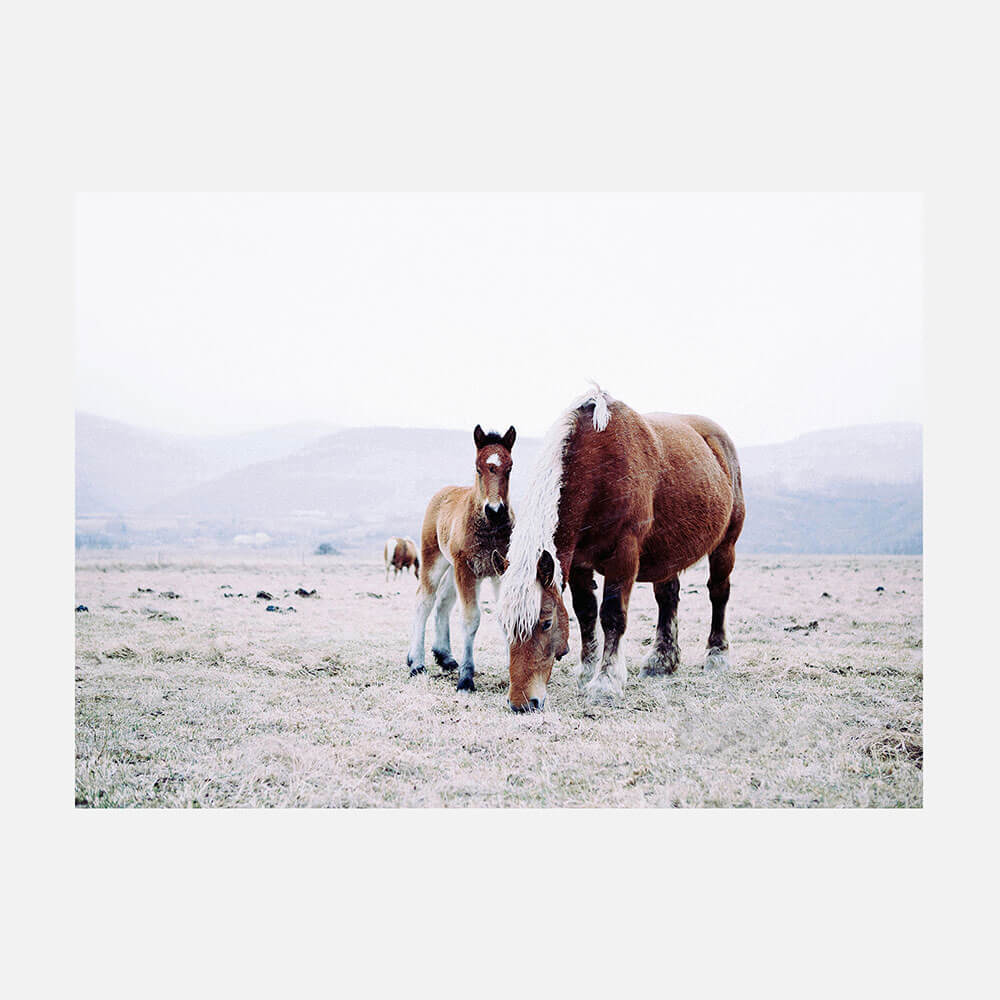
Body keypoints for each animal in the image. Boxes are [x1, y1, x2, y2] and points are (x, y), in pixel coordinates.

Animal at [406, 424, 516, 692]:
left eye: (510, 468)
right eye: (478, 468)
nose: (495, 511)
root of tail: (444, 491)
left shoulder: (501, 570)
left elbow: (507, 616)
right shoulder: (467, 569)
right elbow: (470, 619)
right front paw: (466, 679)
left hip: (452, 566)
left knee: (443, 602)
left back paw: (444, 656)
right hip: (435, 559)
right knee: (424, 600)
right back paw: (416, 662)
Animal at [495, 386, 744, 712]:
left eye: (546, 623)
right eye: (504, 625)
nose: (521, 703)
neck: (597, 467)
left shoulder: (623, 555)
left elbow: (612, 615)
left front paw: (606, 683)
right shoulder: (579, 563)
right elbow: (586, 613)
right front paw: (586, 671)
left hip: (725, 546)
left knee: (718, 593)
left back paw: (717, 656)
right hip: (667, 553)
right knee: (667, 598)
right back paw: (661, 661)